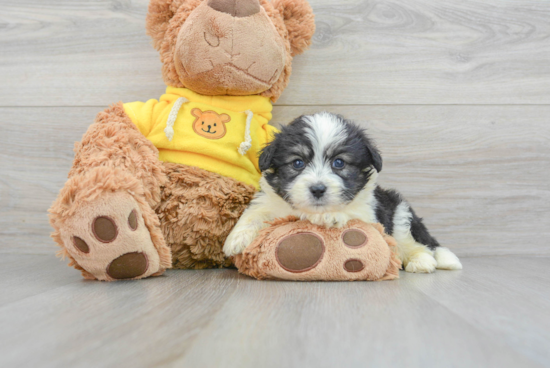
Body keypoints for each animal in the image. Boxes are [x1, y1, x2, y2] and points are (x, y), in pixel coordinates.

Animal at [222, 112, 464, 274]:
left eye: (339, 163)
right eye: (298, 163)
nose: (318, 189)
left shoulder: (368, 212)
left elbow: (347, 213)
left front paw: (329, 216)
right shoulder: (270, 201)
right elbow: (253, 213)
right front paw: (235, 239)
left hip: (400, 214)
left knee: (416, 244)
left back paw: (421, 261)